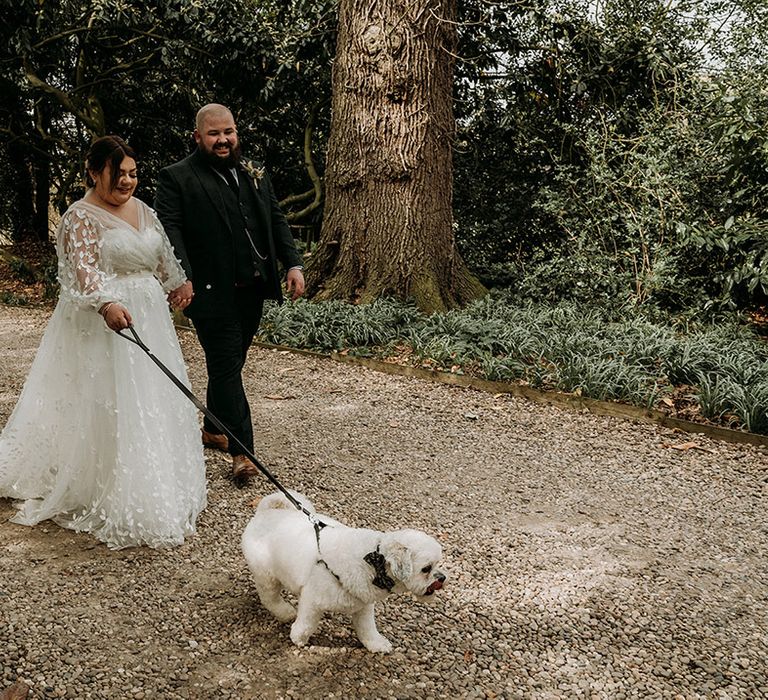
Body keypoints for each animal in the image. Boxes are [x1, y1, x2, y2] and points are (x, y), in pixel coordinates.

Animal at [240, 492, 444, 652]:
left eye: (438, 564)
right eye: (426, 569)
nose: (442, 577)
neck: (373, 564)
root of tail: (267, 511)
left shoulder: (364, 606)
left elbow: (367, 629)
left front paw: (376, 644)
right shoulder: (312, 600)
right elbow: (307, 623)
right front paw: (298, 637)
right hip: (266, 575)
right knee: (269, 598)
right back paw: (285, 612)